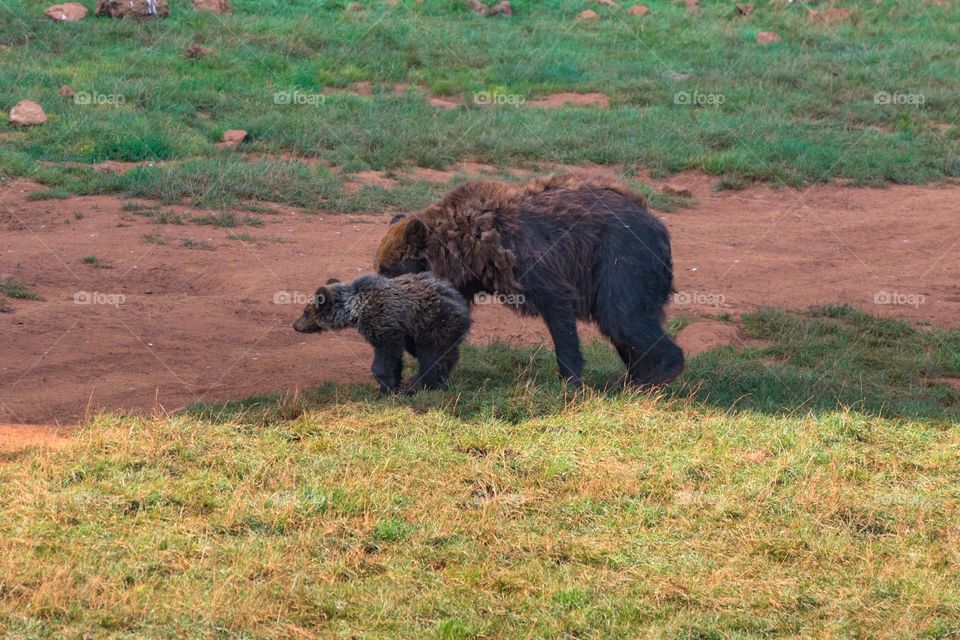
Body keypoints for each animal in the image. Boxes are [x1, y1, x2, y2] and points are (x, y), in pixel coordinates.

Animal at [292, 273, 472, 393]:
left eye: (305, 312)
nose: (295, 325)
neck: (355, 310)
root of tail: (461, 304)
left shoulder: (383, 324)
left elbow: (385, 357)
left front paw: (385, 387)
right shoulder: (400, 331)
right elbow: (395, 359)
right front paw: (394, 383)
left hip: (434, 322)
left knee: (433, 355)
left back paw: (425, 383)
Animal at [374, 174, 684, 387]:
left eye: (389, 269)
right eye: (380, 266)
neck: (471, 251)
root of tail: (658, 223)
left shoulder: (530, 261)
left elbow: (558, 310)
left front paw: (570, 379)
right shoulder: (460, 286)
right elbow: (446, 330)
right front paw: (418, 379)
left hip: (621, 257)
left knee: (621, 315)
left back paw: (650, 376)